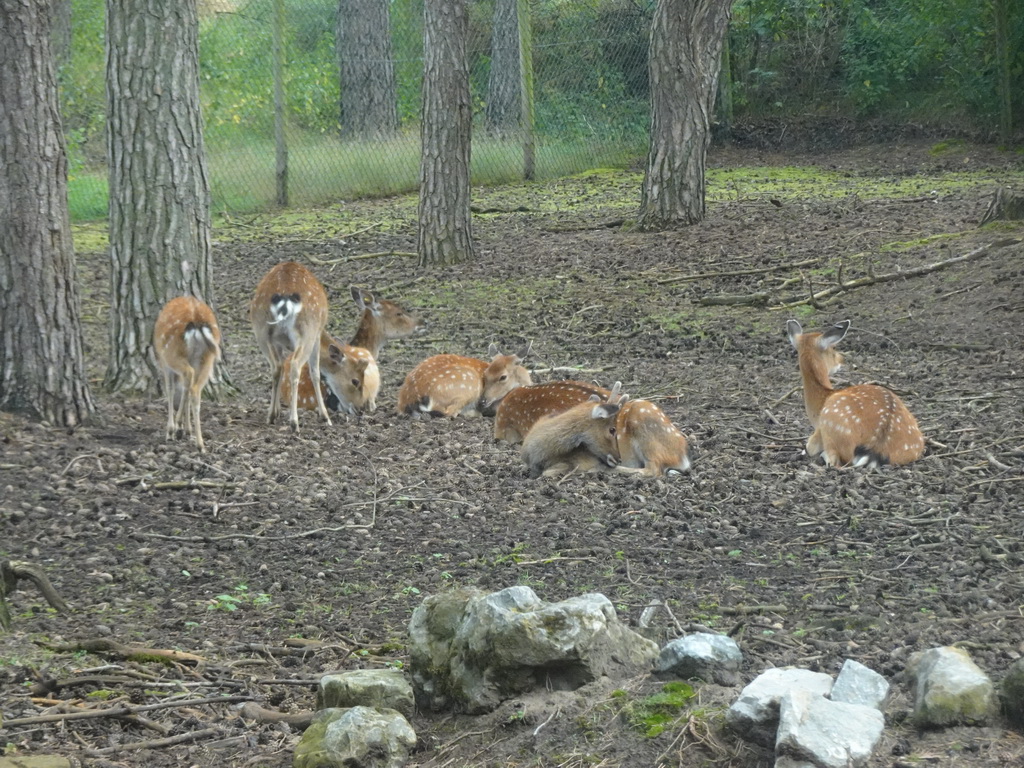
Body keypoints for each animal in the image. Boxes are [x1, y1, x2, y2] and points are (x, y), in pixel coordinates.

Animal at [151, 292, 222, 450]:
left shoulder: (165, 365)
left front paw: (172, 430)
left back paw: (182, 431)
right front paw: (186, 429)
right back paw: (200, 443)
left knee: (188, 377)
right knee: (194, 389)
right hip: (207, 358)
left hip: (172, 353)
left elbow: (170, 389)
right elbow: (186, 390)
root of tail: (197, 320)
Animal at [248, 264, 331, 434]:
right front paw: (325, 416)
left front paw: (277, 411)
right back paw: (294, 422)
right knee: (295, 366)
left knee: (276, 367)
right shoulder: (318, 335)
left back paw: (271, 415)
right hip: (308, 332)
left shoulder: (278, 343)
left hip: (262, 332)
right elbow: (315, 372)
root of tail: (285, 300)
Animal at [782, 319, 929, 468]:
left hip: (831, 428)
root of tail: (877, 448)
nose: (841, 360)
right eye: (833, 349)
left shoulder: (816, 435)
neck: (820, 402)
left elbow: (810, 447)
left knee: (834, 461)